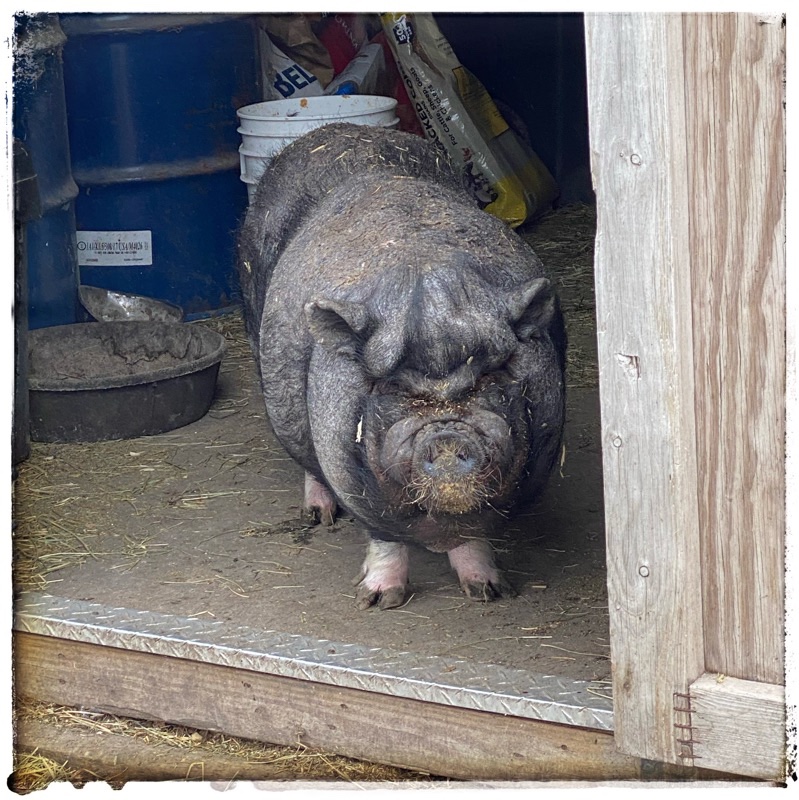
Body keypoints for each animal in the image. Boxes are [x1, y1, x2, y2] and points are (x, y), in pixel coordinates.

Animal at [238, 122, 565, 609]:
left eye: (487, 378)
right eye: (395, 388)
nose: (447, 437)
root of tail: (332, 130)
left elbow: (474, 532)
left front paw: (488, 592)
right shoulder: (350, 474)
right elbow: (384, 535)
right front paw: (378, 601)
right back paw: (318, 517)